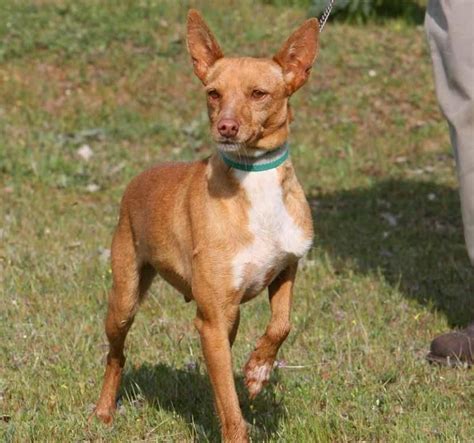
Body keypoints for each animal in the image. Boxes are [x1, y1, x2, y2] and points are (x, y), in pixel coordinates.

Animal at [93, 10, 318, 443]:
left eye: (259, 94)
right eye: (213, 93)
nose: (226, 127)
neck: (254, 180)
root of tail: (138, 178)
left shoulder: (285, 267)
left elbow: (282, 324)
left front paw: (258, 370)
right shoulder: (211, 320)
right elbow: (230, 407)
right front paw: (237, 418)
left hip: (228, 318)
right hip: (125, 298)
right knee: (116, 354)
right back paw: (103, 411)